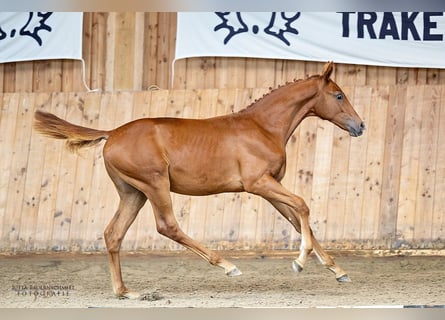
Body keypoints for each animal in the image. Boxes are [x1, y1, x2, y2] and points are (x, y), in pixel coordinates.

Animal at [35, 62, 364, 300]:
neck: (262, 127)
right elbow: (303, 205)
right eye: (339, 95)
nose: (360, 126)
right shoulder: (258, 183)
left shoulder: (270, 187)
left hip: (133, 192)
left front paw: (337, 269)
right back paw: (227, 266)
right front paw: (300, 261)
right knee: (166, 225)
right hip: (154, 184)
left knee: (113, 234)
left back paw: (124, 292)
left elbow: (297, 220)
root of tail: (112, 133)